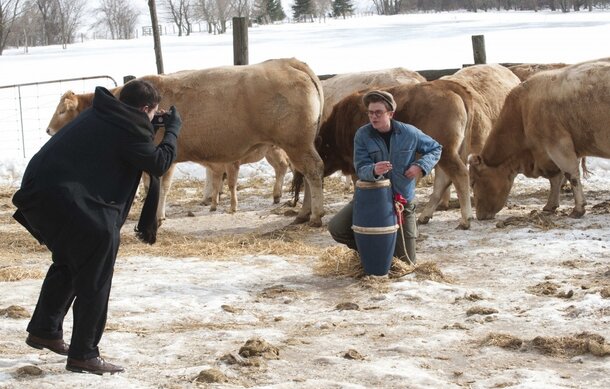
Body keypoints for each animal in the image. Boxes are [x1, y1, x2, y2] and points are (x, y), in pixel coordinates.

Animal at [47, 57, 324, 224]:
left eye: (61, 111)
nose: (49, 130)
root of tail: (288, 62)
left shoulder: (162, 157)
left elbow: (161, 187)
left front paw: (157, 217)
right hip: (300, 144)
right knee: (308, 174)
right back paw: (304, 213)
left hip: (296, 143)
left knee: (313, 171)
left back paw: (315, 215)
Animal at [468, 58, 604, 221]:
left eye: (473, 182)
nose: (479, 216)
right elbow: (556, 179)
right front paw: (551, 205)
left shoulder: (558, 145)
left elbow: (571, 174)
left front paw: (578, 208)